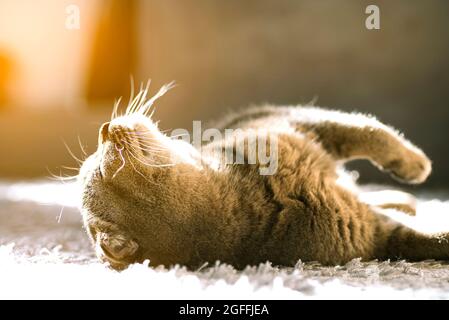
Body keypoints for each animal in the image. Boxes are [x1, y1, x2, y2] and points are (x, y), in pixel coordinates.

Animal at [76, 83, 444, 270]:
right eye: (100, 167)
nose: (103, 128)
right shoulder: (372, 236)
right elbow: (429, 239)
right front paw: (421, 167)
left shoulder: (286, 120)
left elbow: (367, 130)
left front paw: (411, 163)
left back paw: (403, 197)